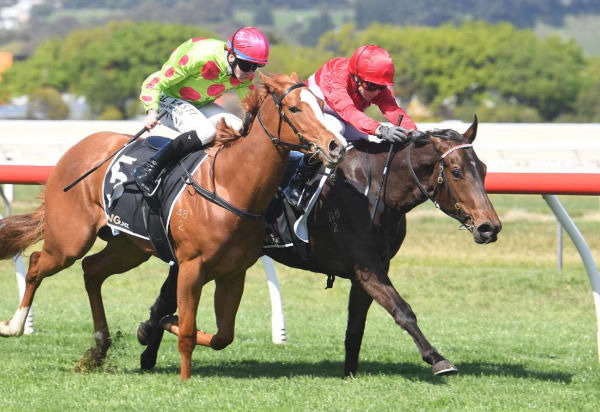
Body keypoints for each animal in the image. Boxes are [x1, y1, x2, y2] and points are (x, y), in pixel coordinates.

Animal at [0, 71, 344, 380]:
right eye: (295, 109)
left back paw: (98, 349)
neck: (230, 185)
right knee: (36, 264)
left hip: (129, 247)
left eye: (320, 105)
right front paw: (183, 379)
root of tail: (77, 148)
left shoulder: (233, 273)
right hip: (70, 240)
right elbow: (189, 332)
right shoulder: (191, 267)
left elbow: (223, 336)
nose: (336, 145)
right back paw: (13, 326)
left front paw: (159, 324)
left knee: (91, 270)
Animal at [137, 116, 502, 376]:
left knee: (168, 296)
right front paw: (438, 359)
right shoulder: (365, 267)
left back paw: (149, 344)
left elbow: (356, 326)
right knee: (170, 295)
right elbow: (403, 310)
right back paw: (149, 341)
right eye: (456, 171)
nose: (490, 227)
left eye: (483, 169)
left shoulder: (369, 269)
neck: (374, 191)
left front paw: (350, 373)